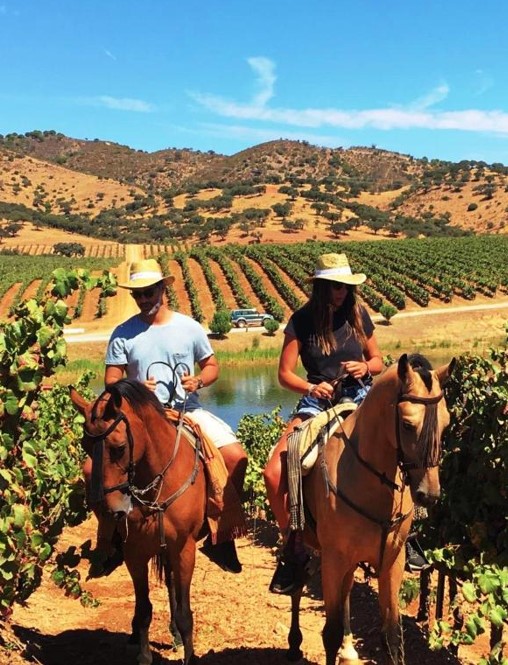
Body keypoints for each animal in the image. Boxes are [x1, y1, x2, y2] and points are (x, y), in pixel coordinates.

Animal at [70, 378, 207, 664]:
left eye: (119, 448)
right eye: (85, 446)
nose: (109, 509)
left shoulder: (184, 549)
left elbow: (185, 613)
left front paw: (187, 650)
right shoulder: (135, 552)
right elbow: (143, 609)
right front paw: (143, 654)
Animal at [286, 350, 456, 660]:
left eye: (446, 423)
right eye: (407, 424)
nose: (429, 494)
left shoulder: (392, 562)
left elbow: (393, 634)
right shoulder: (333, 559)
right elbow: (330, 633)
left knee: (346, 590)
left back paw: (349, 649)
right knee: (296, 588)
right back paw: (294, 644)